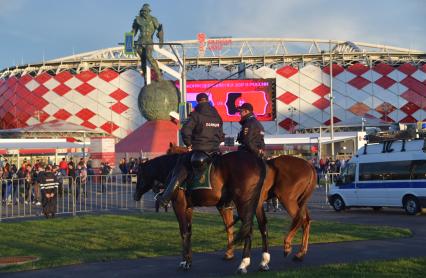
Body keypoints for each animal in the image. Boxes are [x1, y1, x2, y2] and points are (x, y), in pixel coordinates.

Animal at [134, 150, 266, 274]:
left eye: (139, 174)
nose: (135, 195)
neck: (171, 168)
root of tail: (257, 160)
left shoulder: (179, 206)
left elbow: (183, 232)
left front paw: (185, 262)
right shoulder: (188, 208)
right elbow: (189, 232)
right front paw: (188, 261)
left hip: (243, 203)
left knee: (248, 228)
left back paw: (243, 264)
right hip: (256, 204)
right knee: (262, 227)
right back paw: (264, 262)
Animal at [168, 146, 318, 270]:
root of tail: (310, 166)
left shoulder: (183, 205)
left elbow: (187, 232)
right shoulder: (234, 206)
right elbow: (240, 227)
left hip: (287, 199)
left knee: (300, 218)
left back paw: (286, 245)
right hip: (298, 202)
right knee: (306, 220)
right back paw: (300, 253)